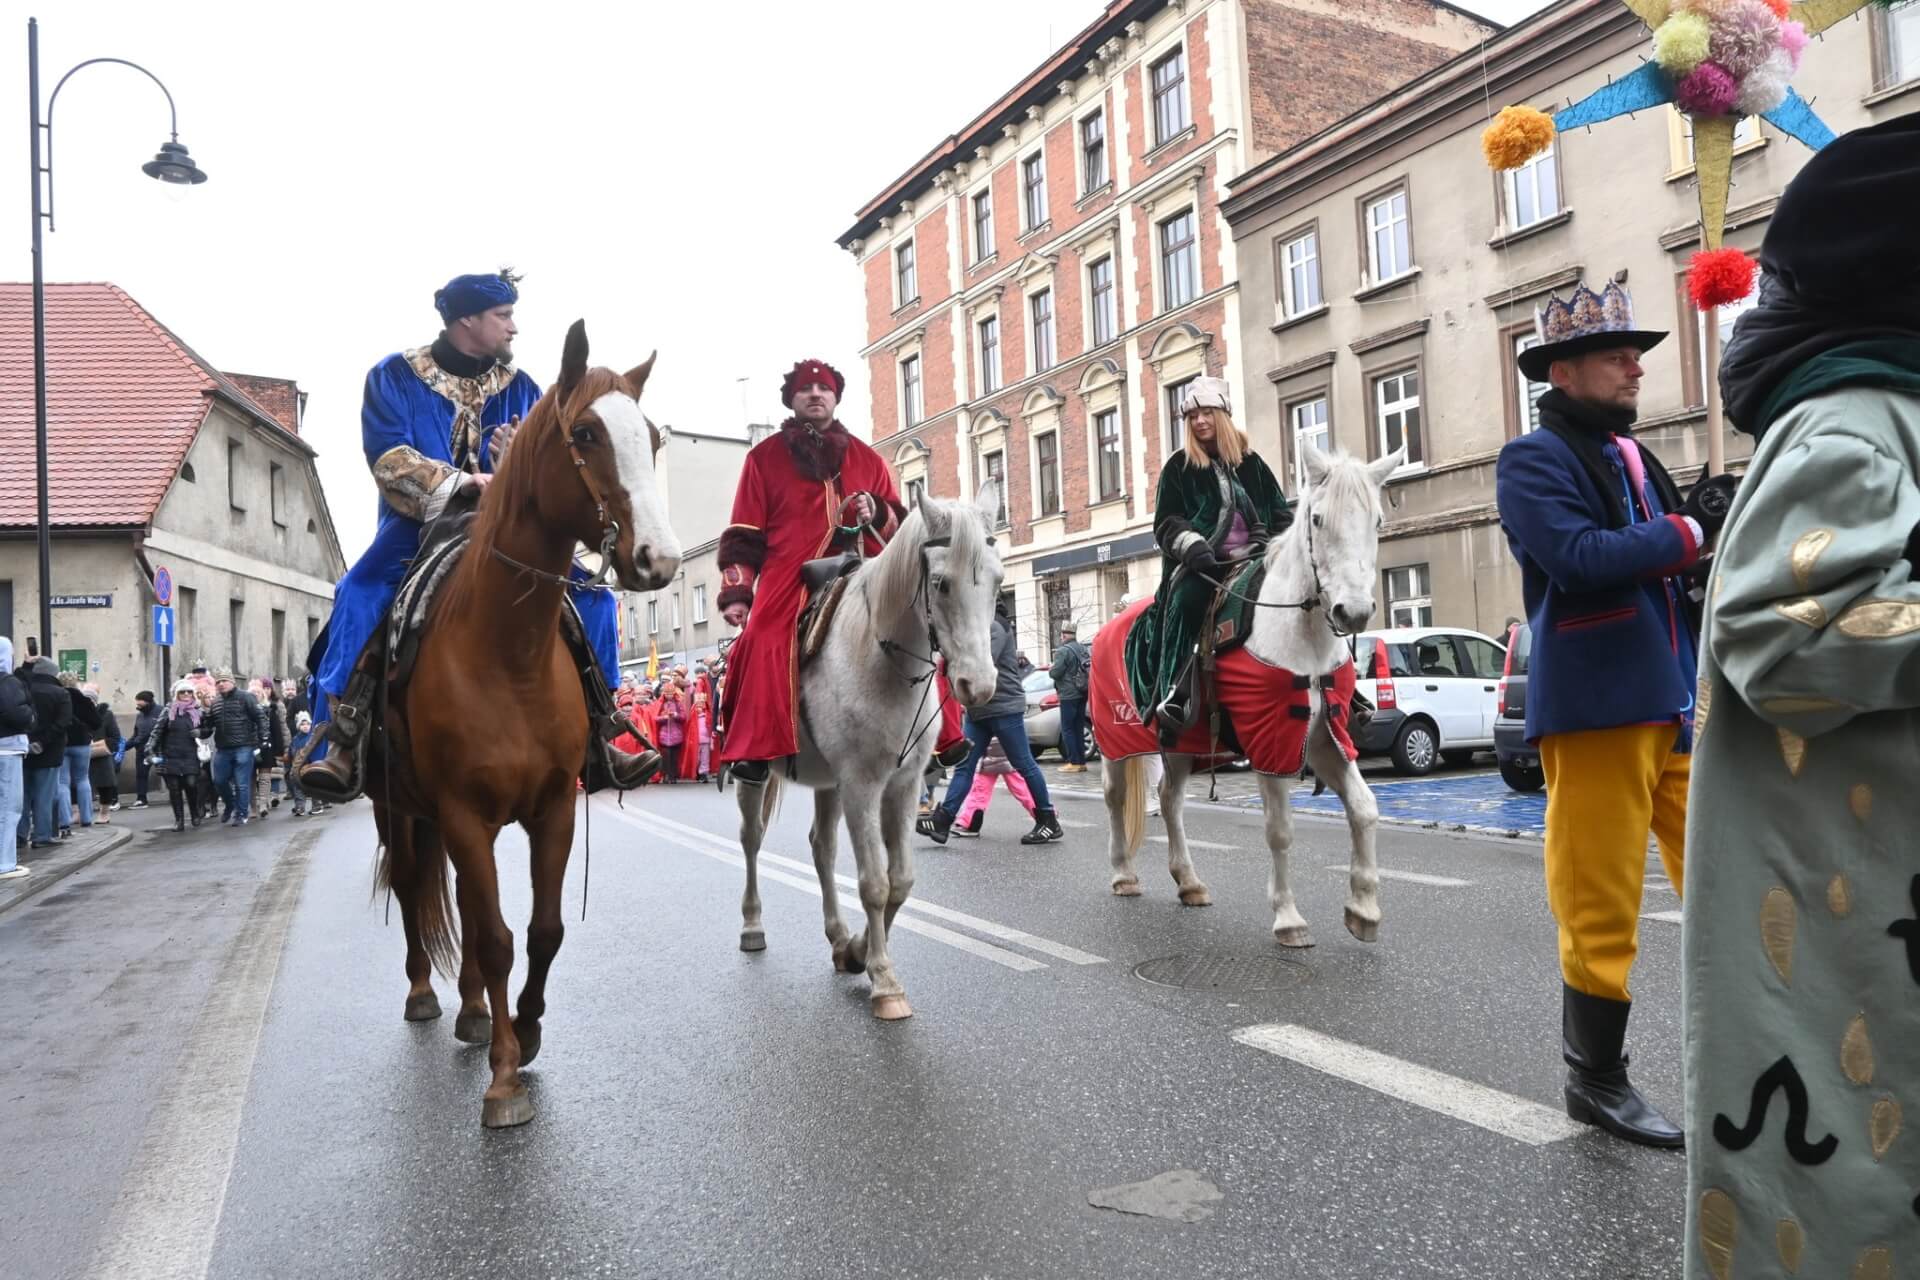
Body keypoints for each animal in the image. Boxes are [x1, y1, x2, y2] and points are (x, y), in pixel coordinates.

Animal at [370, 322, 679, 1128]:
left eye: (652, 437)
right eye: (586, 433)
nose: (659, 559)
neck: (506, 655)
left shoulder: (552, 808)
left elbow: (541, 931)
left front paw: (527, 1031)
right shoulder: (463, 813)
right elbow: (498, 938)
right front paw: (505, 1078)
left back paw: (476, 1010)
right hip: (397, 810)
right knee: (415, 889)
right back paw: (426, 994)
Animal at [733, 485, 1006, 1028]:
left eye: (998, 581)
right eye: (940, 583)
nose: (979, 686)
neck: (881, 658)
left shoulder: (901, 785)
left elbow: (900, 880)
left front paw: (858, 951)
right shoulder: (862, 784)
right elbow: (874, 884)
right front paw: (884, 982)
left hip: (826, 783)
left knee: (821, 848)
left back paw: (839, 936)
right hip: (753, 777)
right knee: (751, 840)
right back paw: (752, 925)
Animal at [1105, 445, 1405, 948]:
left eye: (1377, 520)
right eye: (1317, 518)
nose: (1354, 612)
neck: (1301, 637)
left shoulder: (1323, 739)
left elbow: (1364, 810)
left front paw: (1363, 910)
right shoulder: (1270, 740)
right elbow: (1280, 831)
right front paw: (1288, 918)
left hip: (1181, 746)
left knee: (1169, 799)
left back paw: (1189, 882)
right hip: (1115, 743)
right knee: (1115, 798)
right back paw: (1124, 875)